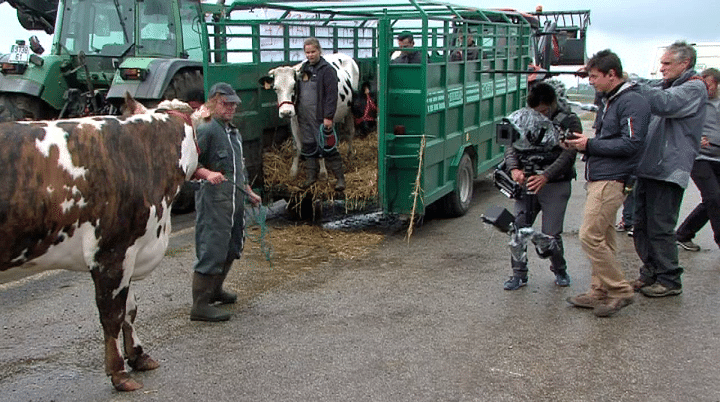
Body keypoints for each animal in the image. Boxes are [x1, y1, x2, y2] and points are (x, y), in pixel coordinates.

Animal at [0, 96, 198, 392]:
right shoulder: (111, 252)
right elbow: (112, 315)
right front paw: (119, 373)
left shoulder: (129, 252)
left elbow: (130, 309)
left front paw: (138, 356)